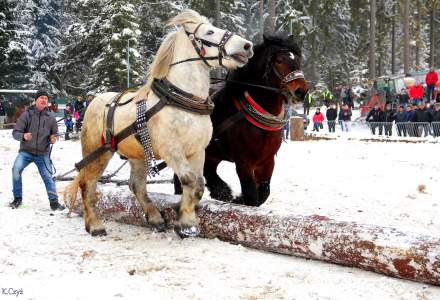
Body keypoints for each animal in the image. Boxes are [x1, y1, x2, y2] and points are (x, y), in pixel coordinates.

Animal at [63, 9, 253, 237]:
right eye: (209, 32)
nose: (247, 46)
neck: (181, 100)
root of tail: (94, 101)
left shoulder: (197, 151)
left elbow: (196, 186)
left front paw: (187, 222)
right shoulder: (171, 149)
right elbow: (191, 181)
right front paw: (185, 223)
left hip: (137, 155)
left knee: (136, 185)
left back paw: (154, 218)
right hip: (97, 152)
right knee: (87, 183)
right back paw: (95, 225)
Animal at [174, 33, 308, 206]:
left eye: (298, 60)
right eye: (279, 61)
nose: (301, 91)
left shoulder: (267, 160)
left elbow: (263, 193)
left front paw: (237, 198)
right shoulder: (244, 162)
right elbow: (251, 195)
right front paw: (240, 197)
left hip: (212, 153)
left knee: (208, 169)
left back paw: (220, 191)